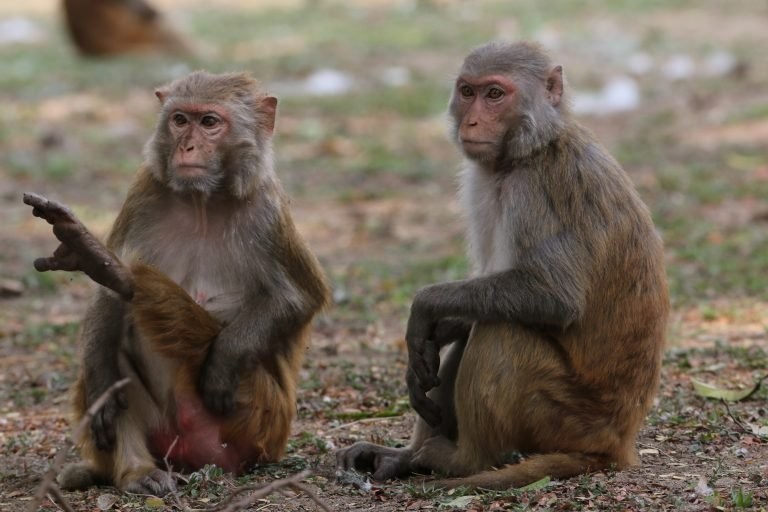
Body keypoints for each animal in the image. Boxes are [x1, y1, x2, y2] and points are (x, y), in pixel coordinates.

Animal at [24, 71, 329, 496]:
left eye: (210, 123)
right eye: (180, 120)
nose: (187, 146)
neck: (204, 203)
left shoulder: (267, 212)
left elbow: (299, 298)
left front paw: (224, 359)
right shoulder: (143, 192)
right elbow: (106, 308)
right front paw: (102, 383)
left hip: (258, 420)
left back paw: (116, 272)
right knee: (118, 344)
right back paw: (138, 471)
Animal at [337, 41, 669, 490]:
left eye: (495, 94)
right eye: (467, 92)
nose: (472, 120)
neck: (528, 150)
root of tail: (616, 444)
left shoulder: (538, 189)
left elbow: (554, 297)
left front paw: (424, 306)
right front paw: (436, 333)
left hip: (565, 417)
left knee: (502, 330)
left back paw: (460, 460)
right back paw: (405, 456)